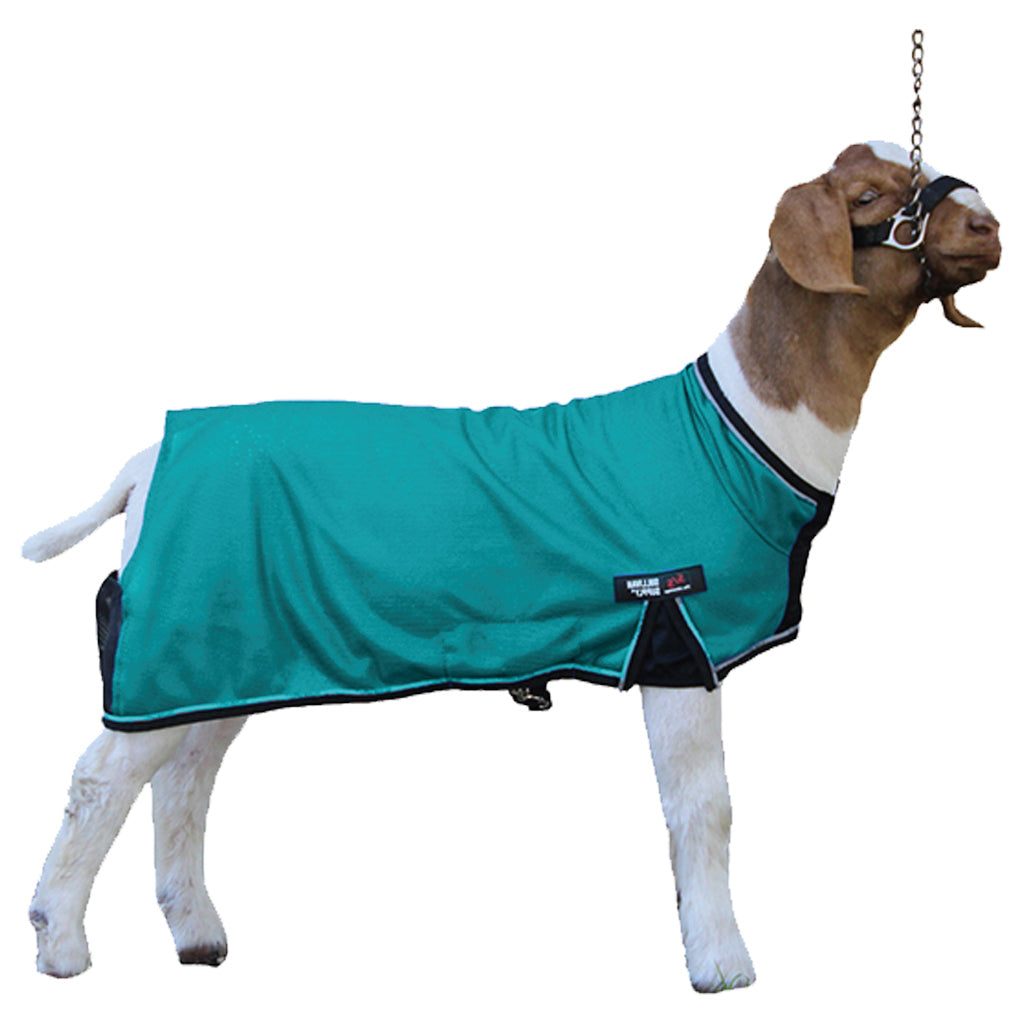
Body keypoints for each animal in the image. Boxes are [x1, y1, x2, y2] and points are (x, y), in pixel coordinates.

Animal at [23, 141, 1000, 991]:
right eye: (869, 197)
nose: (989, 224)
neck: (742, 428)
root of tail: (147, 461)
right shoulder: (675, 633)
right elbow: (706, 806)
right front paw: (721, 963)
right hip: (177, 631)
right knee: (102, 779)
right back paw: (60, 940)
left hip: (224, 642)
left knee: (184, 777)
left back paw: (195, 933)